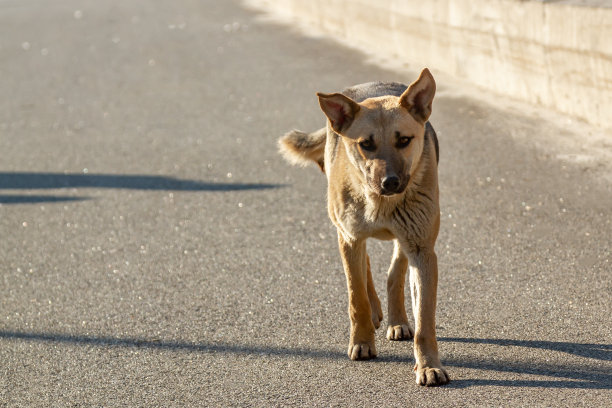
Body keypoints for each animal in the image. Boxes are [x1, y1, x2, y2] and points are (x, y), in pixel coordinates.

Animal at [280, 67, 448, 386]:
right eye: (366, 144)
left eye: (404, 140)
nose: (390, 183)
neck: (380, 204)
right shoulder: (349, 237)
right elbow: (355, 295)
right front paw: (361, 341)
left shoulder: (422, 249)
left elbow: (424, 319)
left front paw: (428, 365)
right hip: (347, 233)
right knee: (364, 269)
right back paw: (374, 313)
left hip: (406, 238)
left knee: (394, 273)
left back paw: (397, 319)